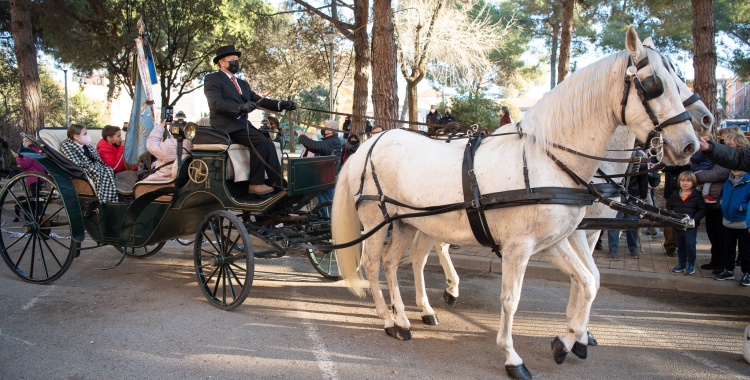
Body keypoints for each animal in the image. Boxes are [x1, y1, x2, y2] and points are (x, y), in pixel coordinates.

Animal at [334, 27, 700, 380]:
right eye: (654, 85)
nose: (691, 144)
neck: (546, 159)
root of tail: (370, 143)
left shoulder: (555, 241)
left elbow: (588, 281)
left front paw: (568, 339)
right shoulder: (518, 247)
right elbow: (511, 300)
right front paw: (513, 356)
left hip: (407, 223)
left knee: (394, 263)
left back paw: (406, 318)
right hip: (376, 222)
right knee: (372, 264)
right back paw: (388, 318)